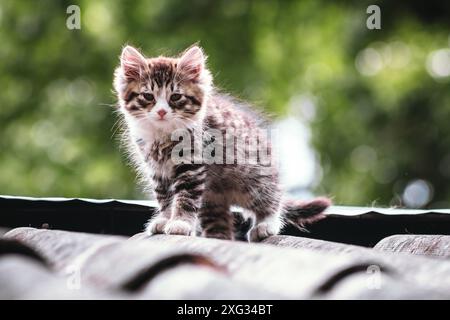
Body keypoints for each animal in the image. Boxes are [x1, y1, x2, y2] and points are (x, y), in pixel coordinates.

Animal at [113, 44, 330, 240]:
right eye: (148, 96)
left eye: (175, 97)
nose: (161, 112)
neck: (162, 134)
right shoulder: (158, 171)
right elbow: (165, 198)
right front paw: (165, 219)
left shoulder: (192, 165)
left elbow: (185, 198)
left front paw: (180, 223)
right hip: (212, 201)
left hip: (254, 180)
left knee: (272, 200)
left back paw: (266, 225)